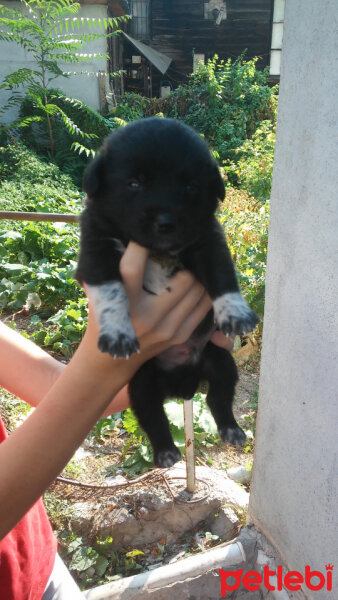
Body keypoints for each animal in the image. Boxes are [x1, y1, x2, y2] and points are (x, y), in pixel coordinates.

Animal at [76, 115, 258, 466]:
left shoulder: (208, 241)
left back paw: (231, 429)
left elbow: (223, 277)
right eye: (135, 183)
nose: (165, 221)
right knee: (154, 417)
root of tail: (181, 386)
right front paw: (118, 333)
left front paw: (235, 314)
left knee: (218, 399)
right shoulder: (95, 251)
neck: (156, 250)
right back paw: (165, 451)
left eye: (190, 186)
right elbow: (111, 292)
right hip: (142, 383)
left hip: (219, 362)